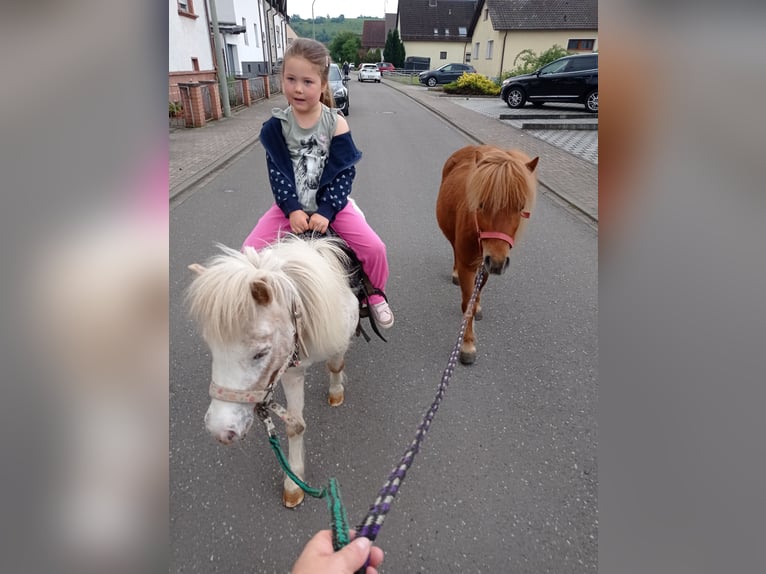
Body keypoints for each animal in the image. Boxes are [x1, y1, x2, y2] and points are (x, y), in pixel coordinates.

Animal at [189, 236, 364, 506]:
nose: (220, 430)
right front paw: (294, 482)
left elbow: (335, 366)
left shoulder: (338, 340)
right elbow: (295, 425)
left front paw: (336, 392)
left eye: (261, 353)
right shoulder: (290, 370)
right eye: (212, 347)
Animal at [438, 146, 540, 366]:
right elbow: (466, 303)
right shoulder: (468, 263)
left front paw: (477, 306)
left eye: (521, 207)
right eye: (482, 204)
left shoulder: (486, 263)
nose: (497, 261)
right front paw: (467, 344)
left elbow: (479, 287)